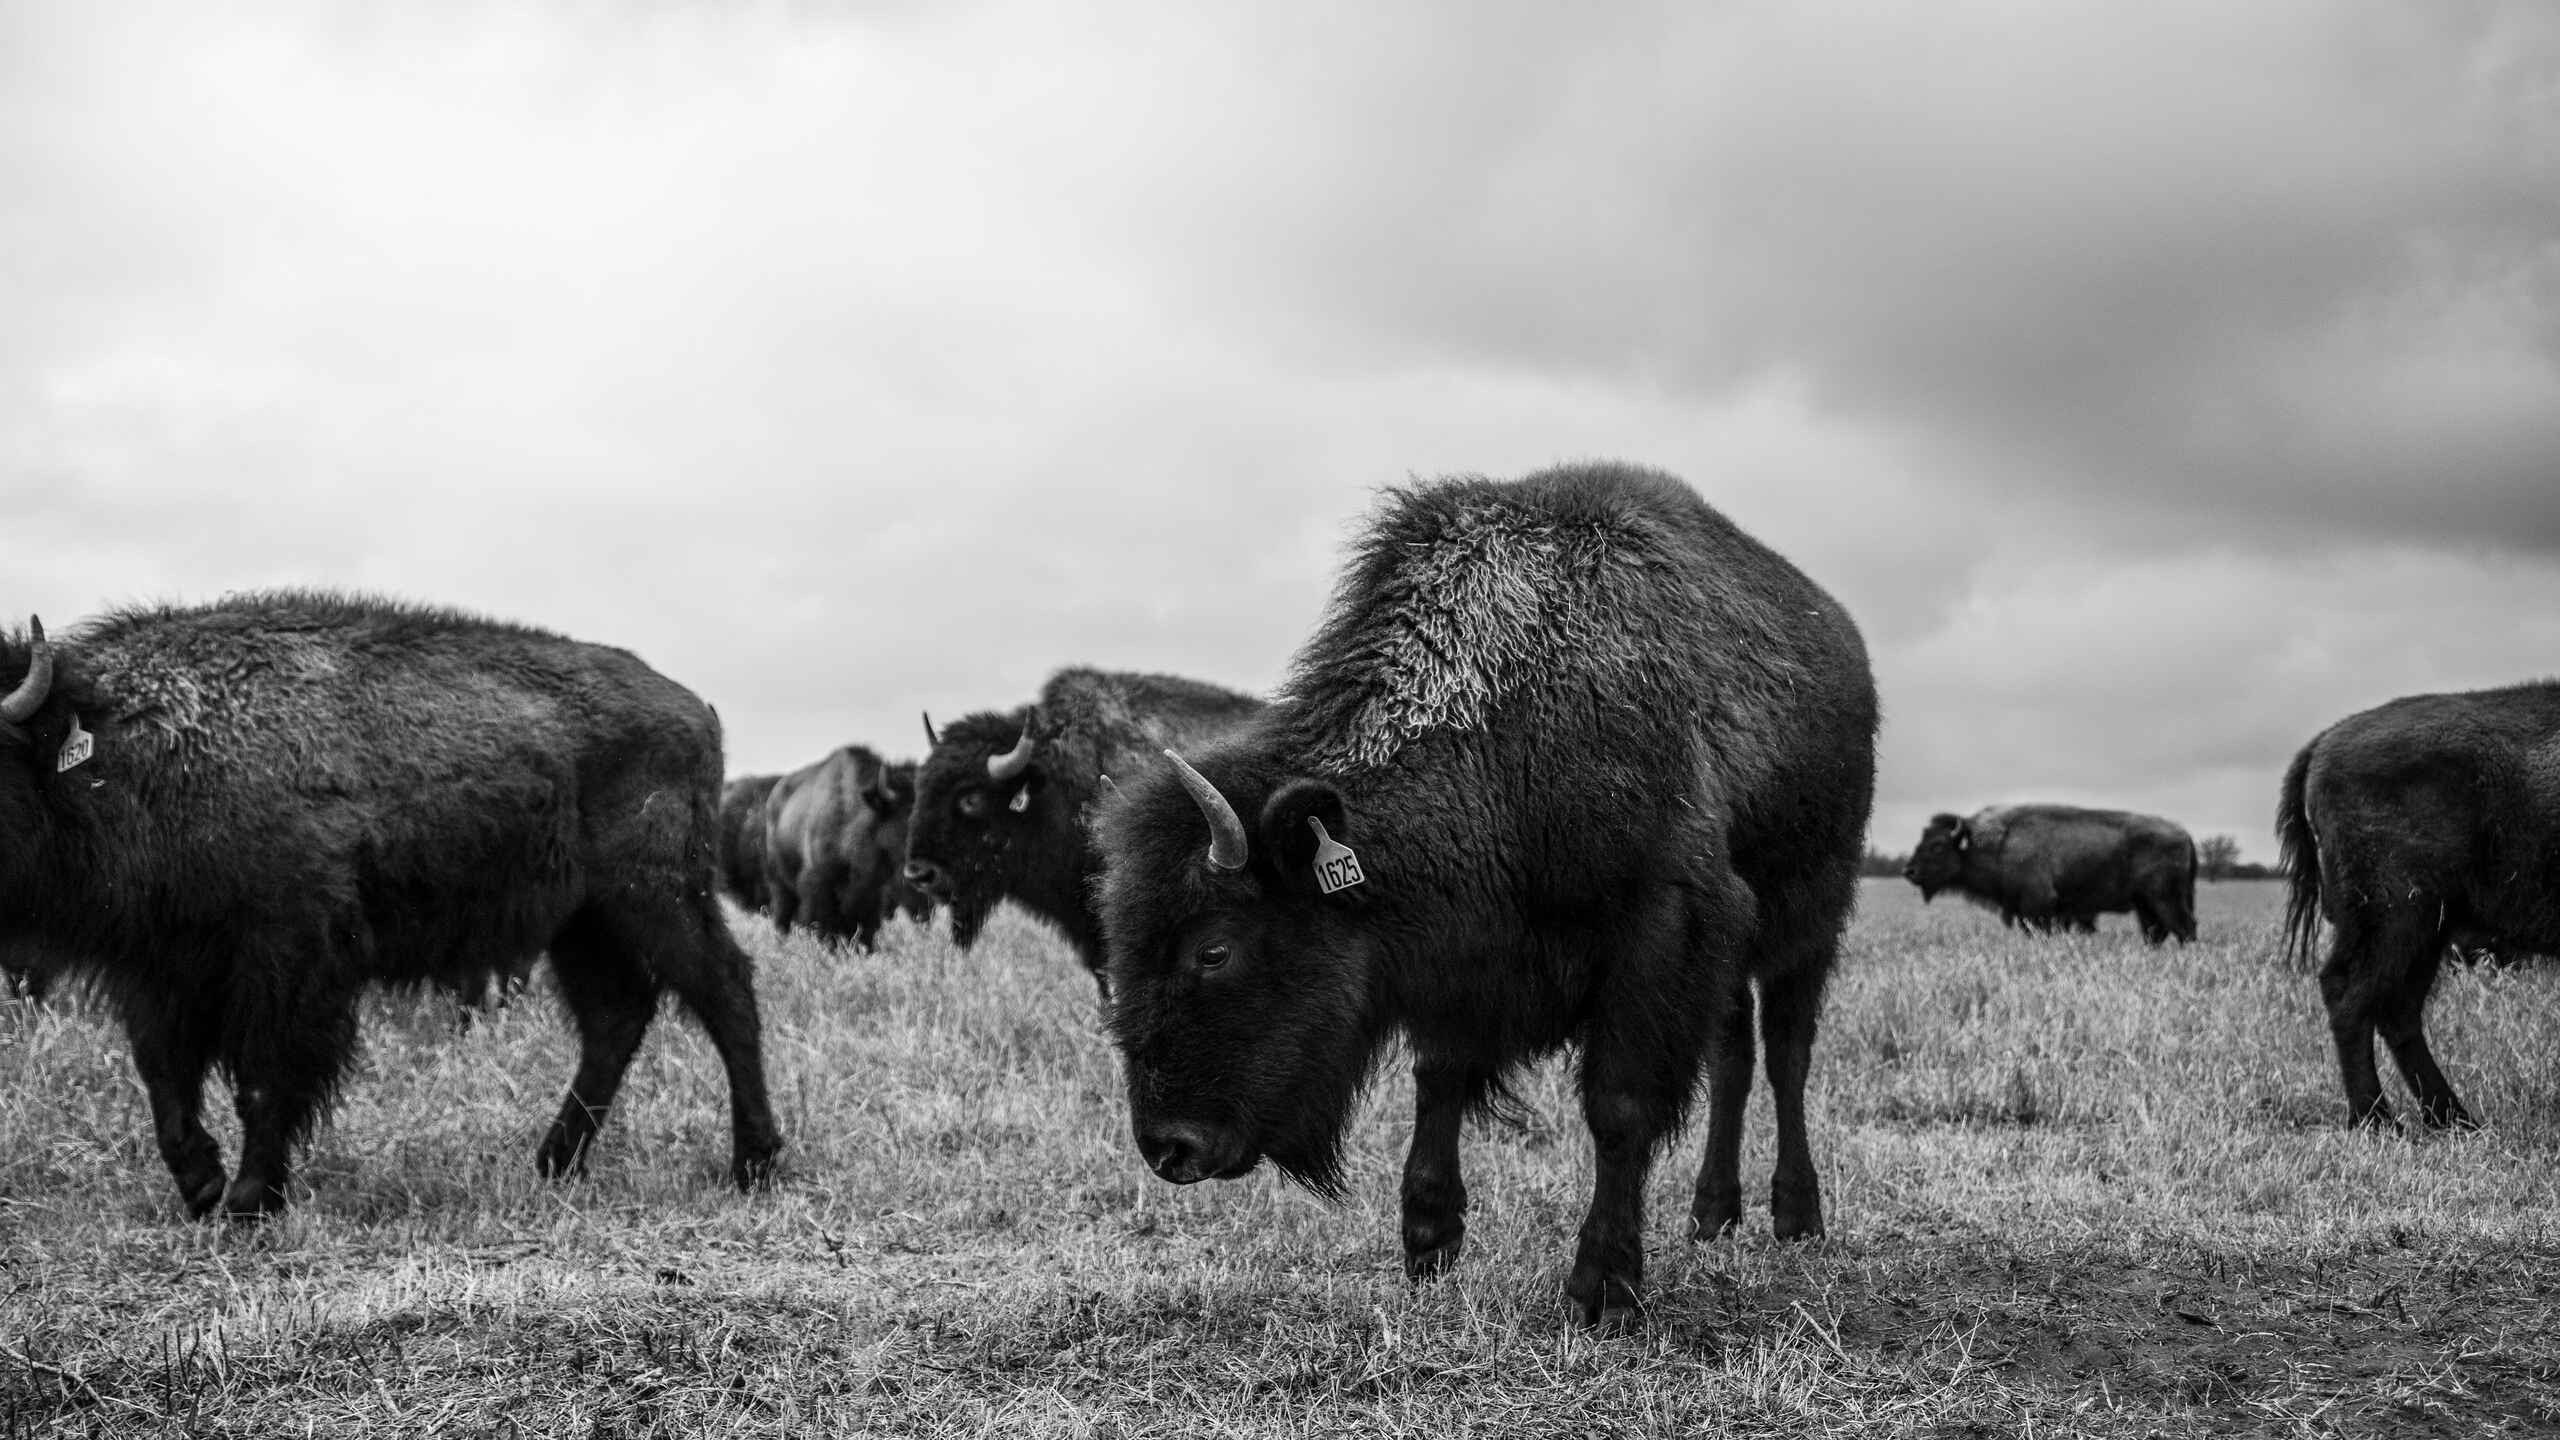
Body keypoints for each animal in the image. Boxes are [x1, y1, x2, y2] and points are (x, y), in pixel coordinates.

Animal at [0, 592, 781, 1218]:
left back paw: (753, 1164)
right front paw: (201, 1187)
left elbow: (265, 1077)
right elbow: (165, 1080)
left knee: (724, 993)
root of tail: (696, 709)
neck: (134, 746)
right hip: (582, 925)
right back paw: (554, 1164)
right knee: (614, 1020)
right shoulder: (159, 970)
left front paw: (251, 1199)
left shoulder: (287, 959)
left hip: (657, 899)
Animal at [762, 746, 923, 951]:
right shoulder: (818, 887)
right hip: (780, 886)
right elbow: (825, 928)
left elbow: (864, 931)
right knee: (783, 918)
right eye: (909, 814)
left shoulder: (871, 896)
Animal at [1091, 463, 1877, 1326]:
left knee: (1787, 1054)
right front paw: (1428, 1243)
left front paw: (1603, 1287)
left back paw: (1797, 1215)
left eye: (1215, 948)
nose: (1169, 1147)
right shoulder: (1463, 958)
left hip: (1811, 917)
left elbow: (1619, 1107)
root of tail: (1843, 640)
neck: (1505, 719)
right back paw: (1712, 1214)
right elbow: (1439, 1080)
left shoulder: (1658, 933)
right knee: (1733, 1058)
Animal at [1903, 805, 2198, 944]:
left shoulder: (2038, 908)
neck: (2000, 845)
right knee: (2156, 932)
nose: (1909, 871)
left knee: (2184, 929)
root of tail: (2184, 834)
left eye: (1937, 845)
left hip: (2164, 899)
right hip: (2145, 904)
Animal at [2277, 683, 2560, 1130]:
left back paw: (2450, 1118)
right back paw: (2377, 1120)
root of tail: (2325, 741)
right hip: (2398, 918)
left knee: (2397, 1009)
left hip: (2428, 931)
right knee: (2351, 994)